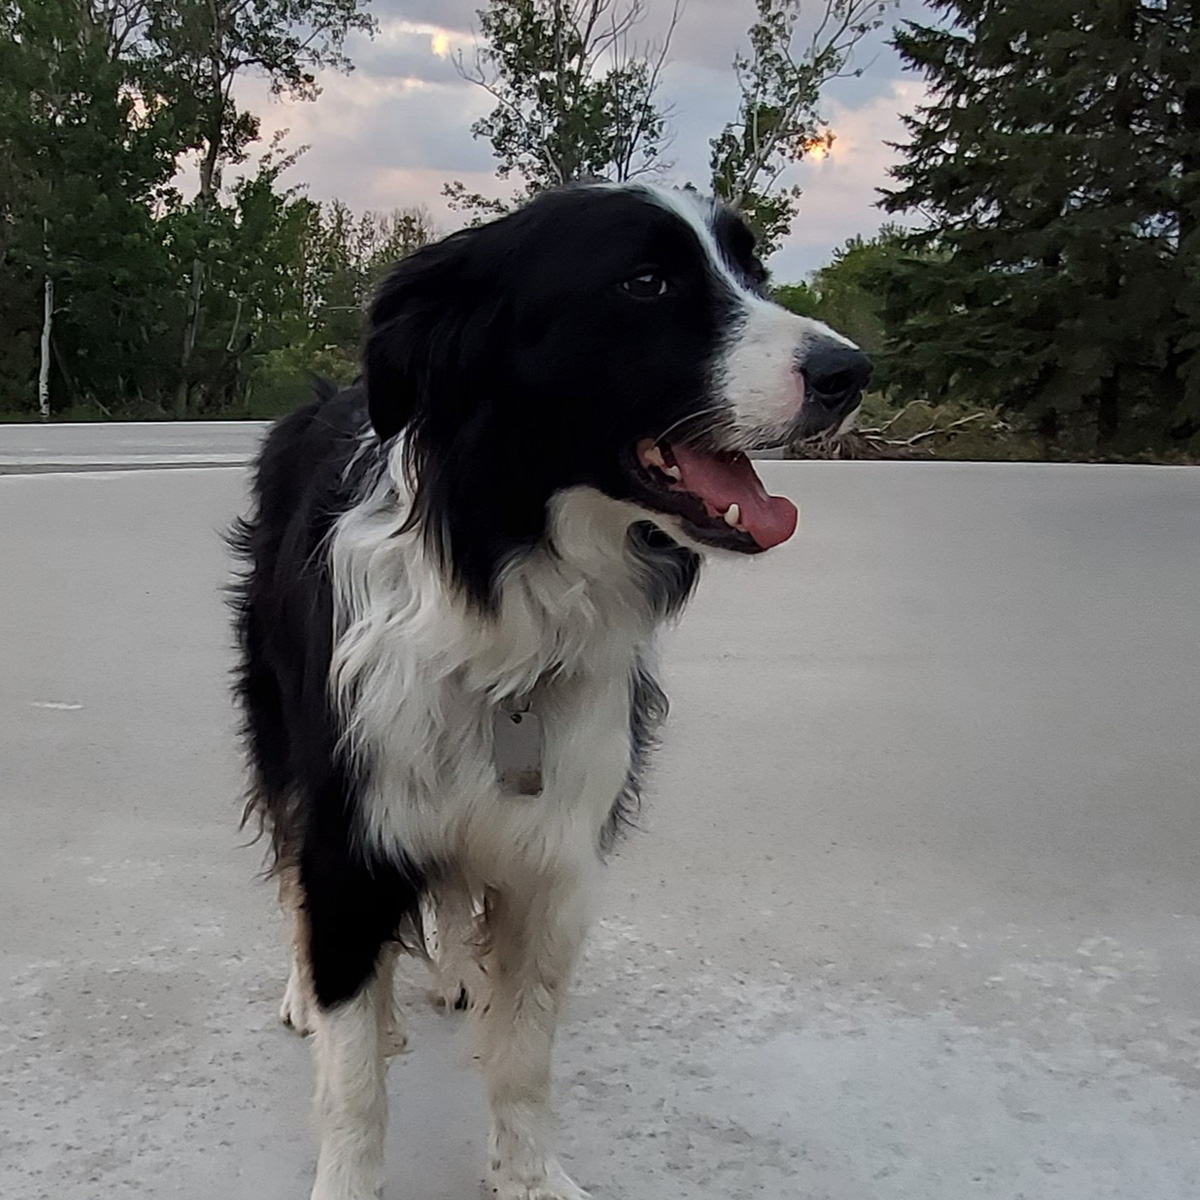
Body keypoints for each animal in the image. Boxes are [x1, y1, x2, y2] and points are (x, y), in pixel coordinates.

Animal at [231, 180, 873, 1200]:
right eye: (646, 283)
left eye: (754, 269)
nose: (853, 372)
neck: (508, 586)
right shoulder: (354, 826)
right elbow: (354, 1077)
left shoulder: (555, 852)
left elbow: (524, 1053)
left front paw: (529, 1176)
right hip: (279, 725)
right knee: (295, 870)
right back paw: (321, 992)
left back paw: (454, 971)